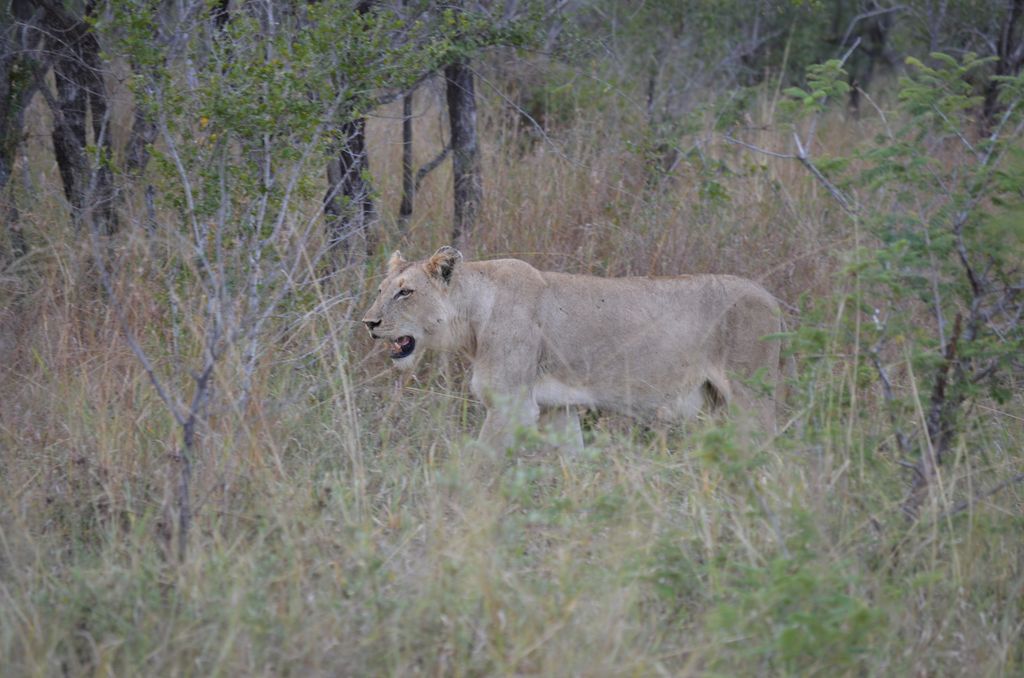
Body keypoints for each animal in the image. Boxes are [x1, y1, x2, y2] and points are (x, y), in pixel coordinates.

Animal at [362, 246, 785, 451]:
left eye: (405, 292)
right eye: (381, 290)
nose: (369, 323)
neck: (474, 317)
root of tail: (771, 297)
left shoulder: (512, 406)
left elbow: (480, 465)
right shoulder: (557, 408)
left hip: (751, 395)